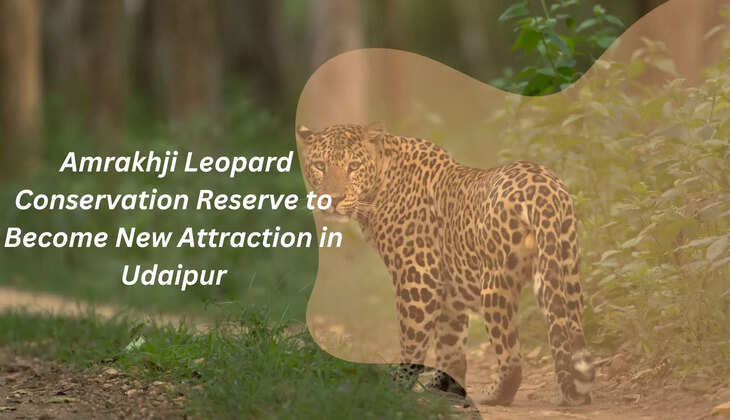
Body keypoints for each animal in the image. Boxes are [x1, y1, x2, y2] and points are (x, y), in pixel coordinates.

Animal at [295, 122, 594, 406]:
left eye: (353, 167)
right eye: (320, 166)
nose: (332, 199)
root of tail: (543, 189)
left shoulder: (418, 279)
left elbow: (412, 341)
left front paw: (398, 386)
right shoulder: (450, 292)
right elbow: (451, 347)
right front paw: (445, 389)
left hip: (496, 283)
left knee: (511, 359)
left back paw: (495, 394)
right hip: (563, 269)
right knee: (571, 334)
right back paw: (577, 392)